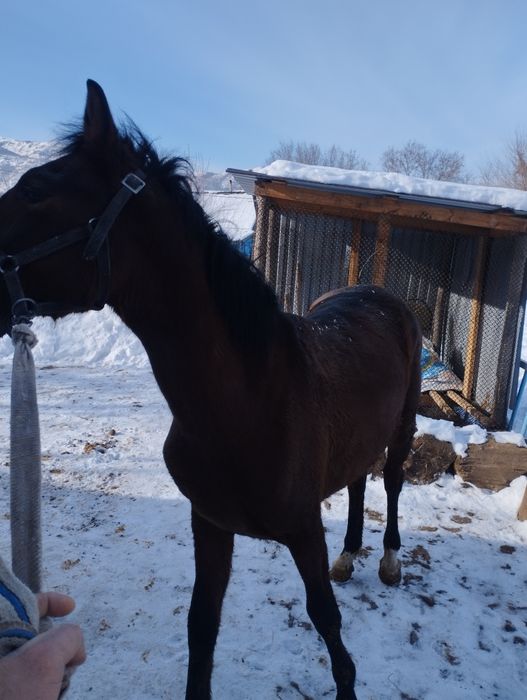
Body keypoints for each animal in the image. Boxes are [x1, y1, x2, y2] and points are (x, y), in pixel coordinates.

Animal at [0, 80, 421, 699]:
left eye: (34, 191)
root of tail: (379, 293)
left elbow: (327, 624)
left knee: (389, 482)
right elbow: (203, 628)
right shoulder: (210, 524)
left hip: (404, 426)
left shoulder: (302, 530)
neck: (244, 403)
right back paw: (350, 556)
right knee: (357, 481)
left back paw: (389, 561)